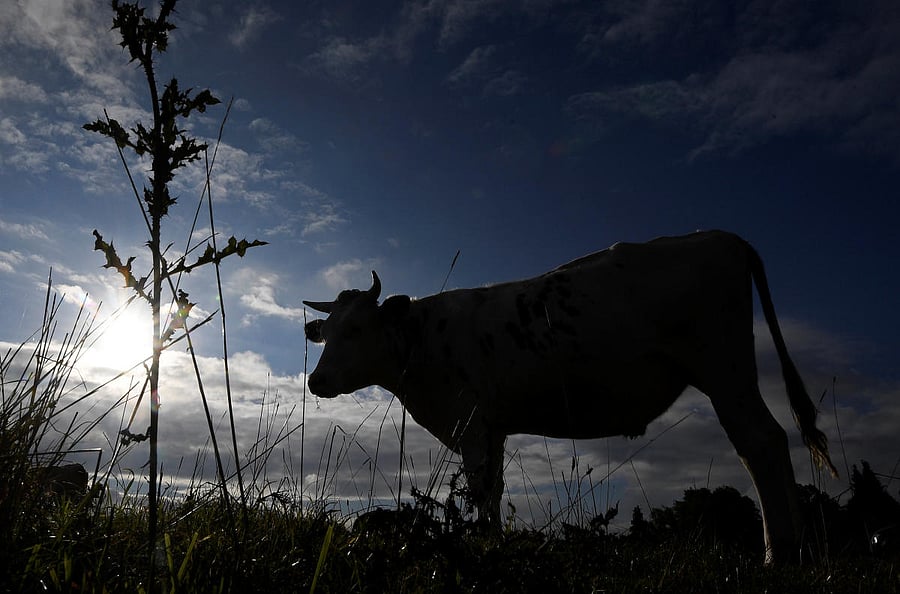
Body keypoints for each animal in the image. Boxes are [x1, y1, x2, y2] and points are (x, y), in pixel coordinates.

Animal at [303, 230, 837, 563]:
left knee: (761, 443)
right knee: (769, 442)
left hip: (725, 369)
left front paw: (485, 545)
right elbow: (493, 489)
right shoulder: (492, 428)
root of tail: (721, 236)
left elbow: (480, 487)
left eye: (356, 329)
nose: (316, 382)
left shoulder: (471, 421)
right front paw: (493, 542)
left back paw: (781, 554)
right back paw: (802, 551)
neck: (423, 341)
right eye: (324, 332)